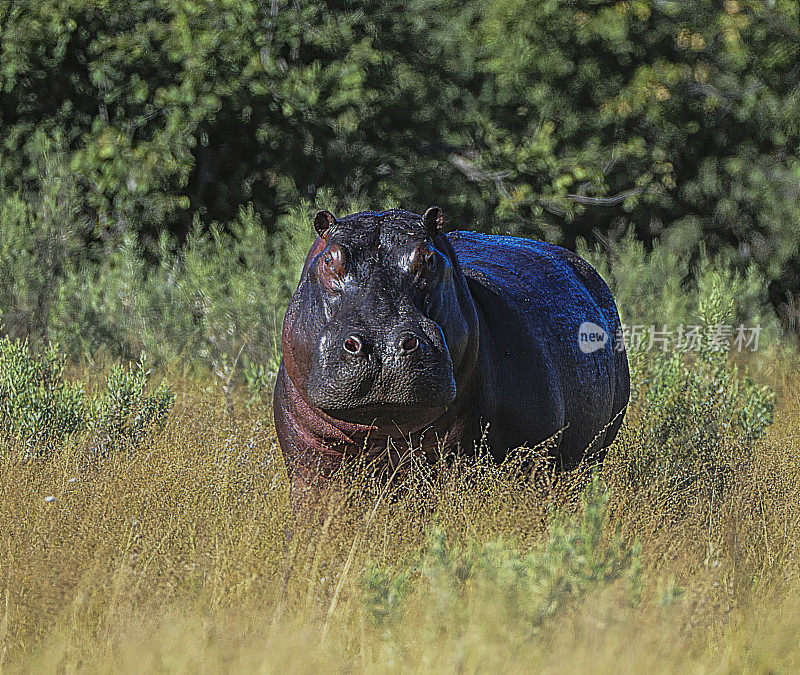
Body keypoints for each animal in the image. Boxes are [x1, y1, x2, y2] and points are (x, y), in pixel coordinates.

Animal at [272, 207, 628, 508]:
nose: (383, 343)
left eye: (429, 259)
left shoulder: (529, 455)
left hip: (594, 450)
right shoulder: (309, 461)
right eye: (329, 260)